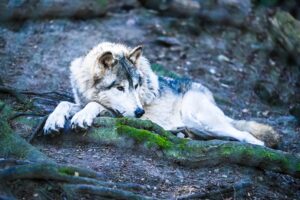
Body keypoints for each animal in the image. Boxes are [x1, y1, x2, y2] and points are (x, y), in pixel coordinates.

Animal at [44, 41, 278, 147]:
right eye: (120, 88)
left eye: (136, 86)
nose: (140, 113)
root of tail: (203, 90)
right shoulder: (80, 100)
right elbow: (64, 103)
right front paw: (53, 121)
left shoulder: (118, 114)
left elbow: (96, 105)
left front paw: (82, 117)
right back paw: (178, 133)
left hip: (199, 119)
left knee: (245, 135)